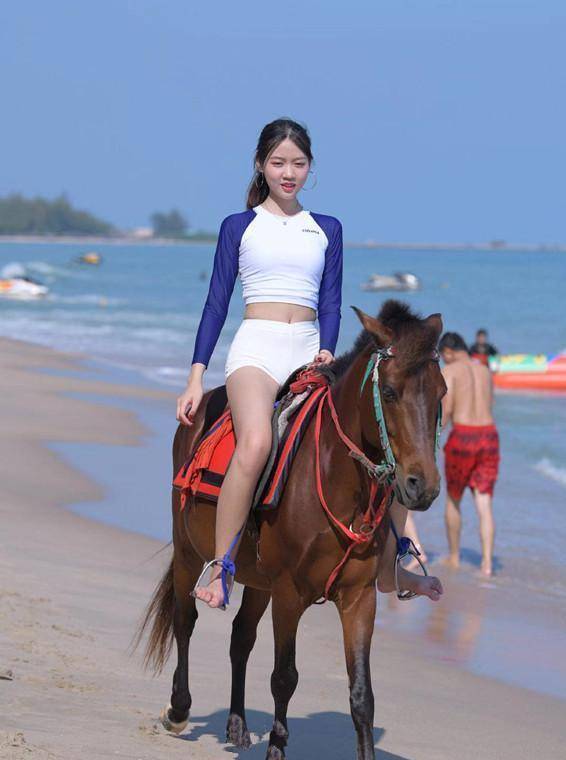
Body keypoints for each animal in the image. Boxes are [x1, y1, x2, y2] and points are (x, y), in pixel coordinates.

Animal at [137, 300, 445, 759]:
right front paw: (276, 749)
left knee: (240, 637)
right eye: (389, 393)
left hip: (255, 578)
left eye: (442, 394)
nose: (421, 486)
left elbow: (362, 696)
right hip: (190, 551)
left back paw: (237, 724)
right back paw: (178, 710)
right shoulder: (288, 593)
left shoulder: (358, 599)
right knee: (185, 619)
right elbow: (284, 677)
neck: (336, 482)